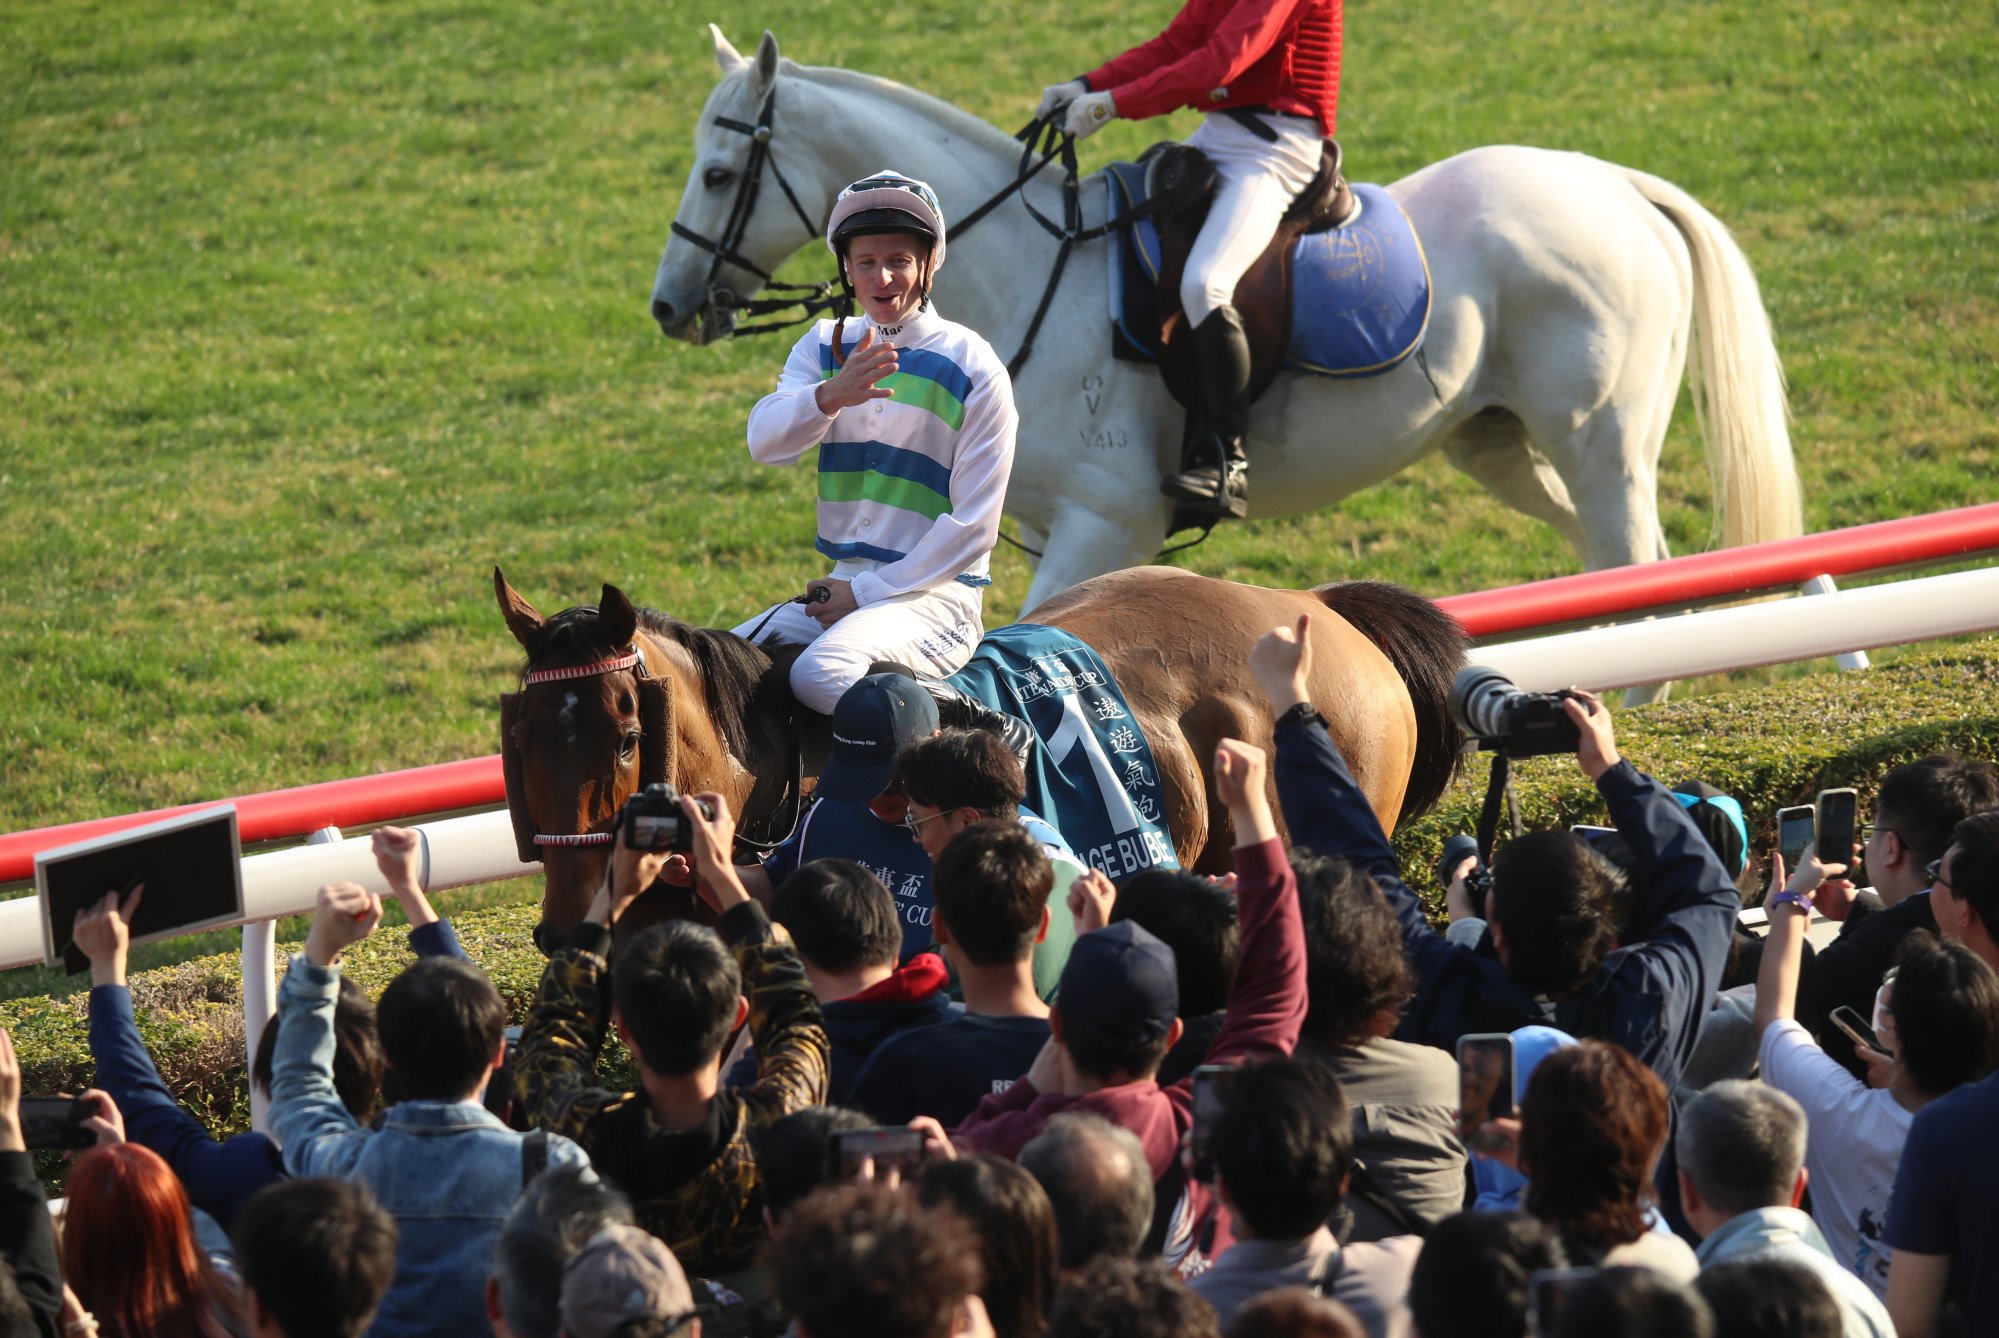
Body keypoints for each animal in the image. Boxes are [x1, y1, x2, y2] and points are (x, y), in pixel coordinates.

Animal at [647, 27, 1807, 616]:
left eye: (719, 173)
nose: (668, 307)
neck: (1023, 275)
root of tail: (1615, 185)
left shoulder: (1109, 520)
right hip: (1495, 443)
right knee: (1606, 556)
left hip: (1598, 438)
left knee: (1637, 556)